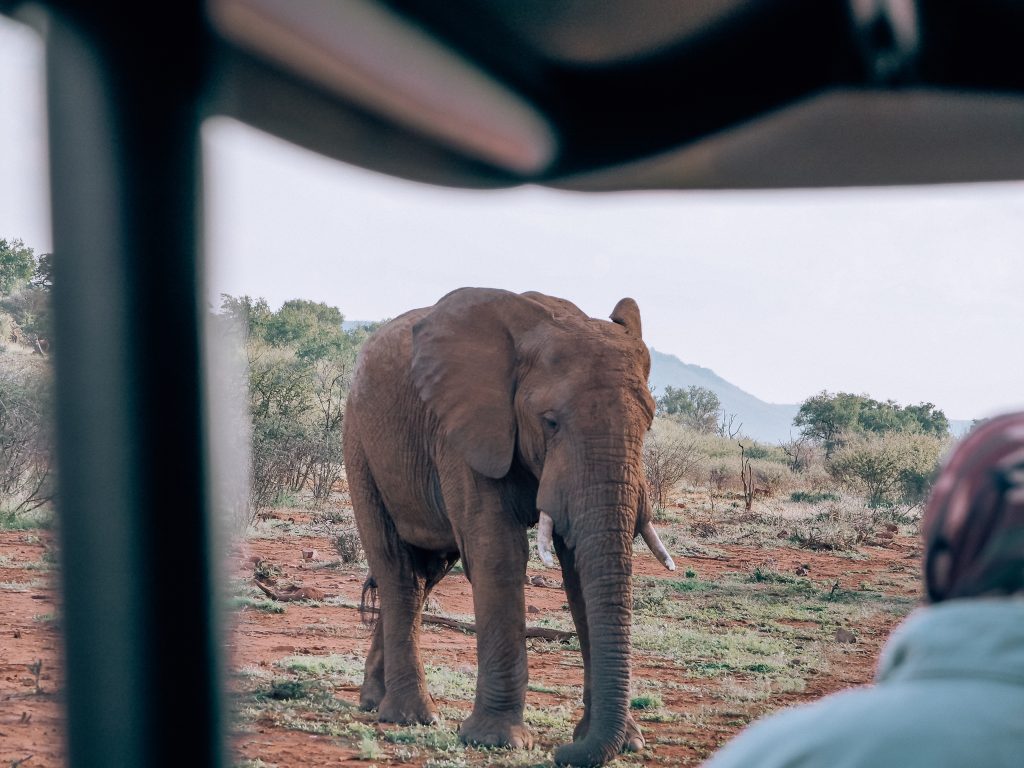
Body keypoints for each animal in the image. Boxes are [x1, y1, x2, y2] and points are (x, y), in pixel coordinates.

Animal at [348, 288, 675, 768]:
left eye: (649, 422)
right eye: (550, 421)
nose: (563, 753)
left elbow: (579, 566)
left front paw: (628, 743)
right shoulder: (465, 431)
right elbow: (497, 553)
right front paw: (498, 741)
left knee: (426, 575)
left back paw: (374, 701)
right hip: (360, 445)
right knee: (397, 570)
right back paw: (410, 716)